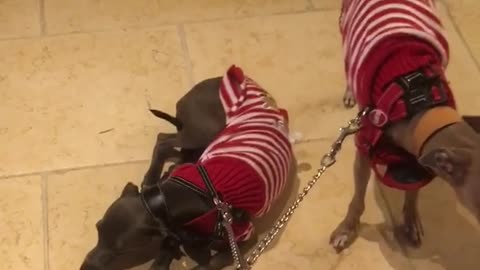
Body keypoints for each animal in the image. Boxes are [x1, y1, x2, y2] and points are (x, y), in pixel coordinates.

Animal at [330, 0, 480, 253]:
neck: (419, 103)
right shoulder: (364, 150)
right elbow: (357, 200)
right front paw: (346, 230)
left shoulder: (417, 158)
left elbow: (412, 191)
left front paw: (411, 221)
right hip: (346, 32)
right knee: (349, 65)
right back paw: (350, 91)